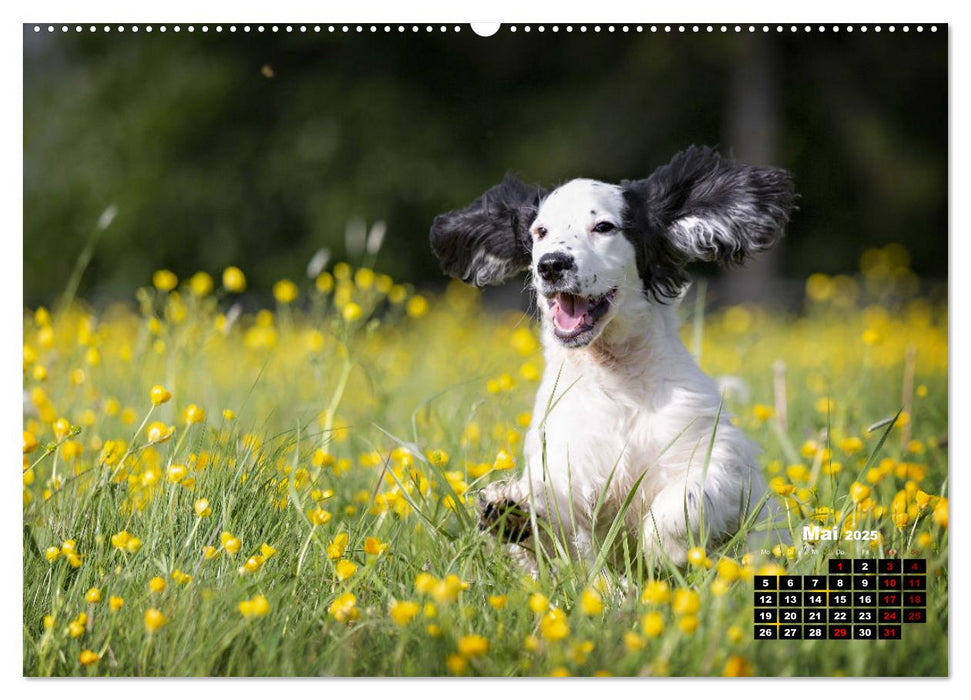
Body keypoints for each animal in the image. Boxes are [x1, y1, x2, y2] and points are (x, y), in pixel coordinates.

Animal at [430, 145, 792, 568]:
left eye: (604, 227)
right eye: (540, 231)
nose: (551, 264)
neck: (615, 379)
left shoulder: (719, 458)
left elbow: (687, 496)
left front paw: (664, 546)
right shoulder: (566, 464)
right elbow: (554, 519)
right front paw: (512, 512)